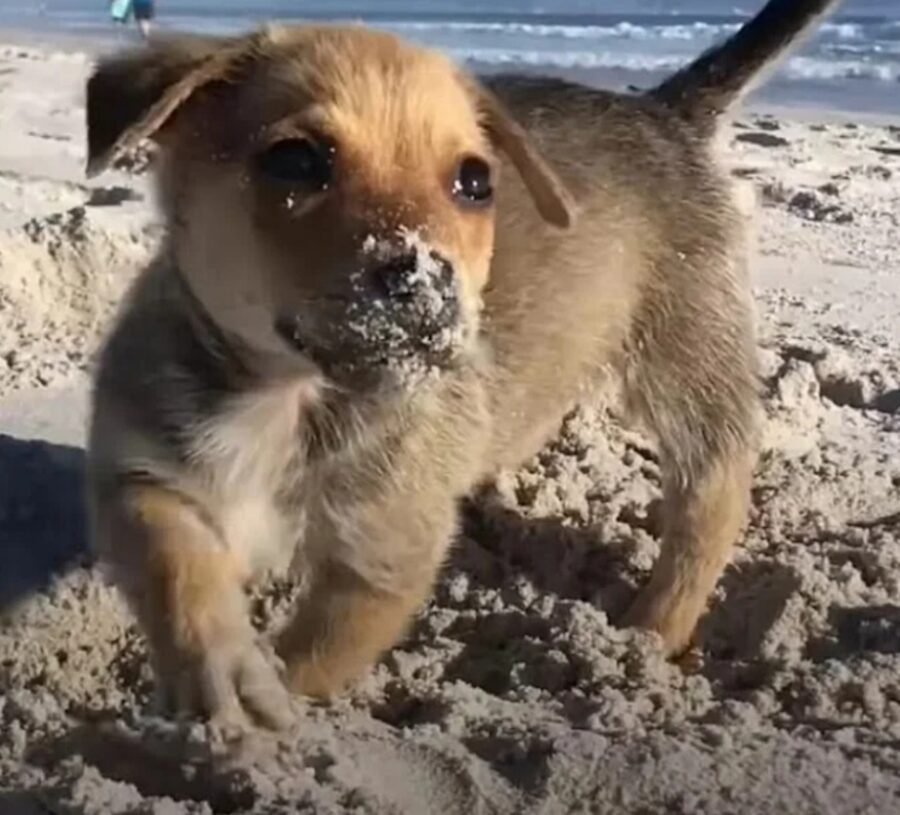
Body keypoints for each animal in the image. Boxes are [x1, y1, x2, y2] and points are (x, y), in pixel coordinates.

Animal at [84, 0, 836, 728]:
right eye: (295, 162)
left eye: (474, 182)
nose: (426, 279)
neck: (286, 396)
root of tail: (663, 111)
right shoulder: (142, 476)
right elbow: (177, 572)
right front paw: (223, 674)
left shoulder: (384, 560)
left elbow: (309, 663)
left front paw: (271, 715)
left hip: (687, 352)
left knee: (713, 492)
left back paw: (654, 627)